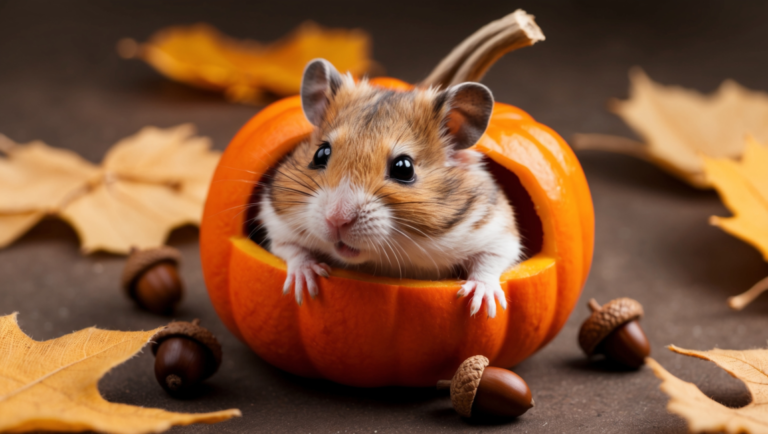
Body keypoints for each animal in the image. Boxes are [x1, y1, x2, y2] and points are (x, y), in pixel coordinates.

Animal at [256, 59, 522, 317]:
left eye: (404, 168)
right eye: (320, 154)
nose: (336, 220)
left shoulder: (496, 230)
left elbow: (490, 261)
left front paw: (482, 306)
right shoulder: (277, 222)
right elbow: (290, 249)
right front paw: (306, 285)